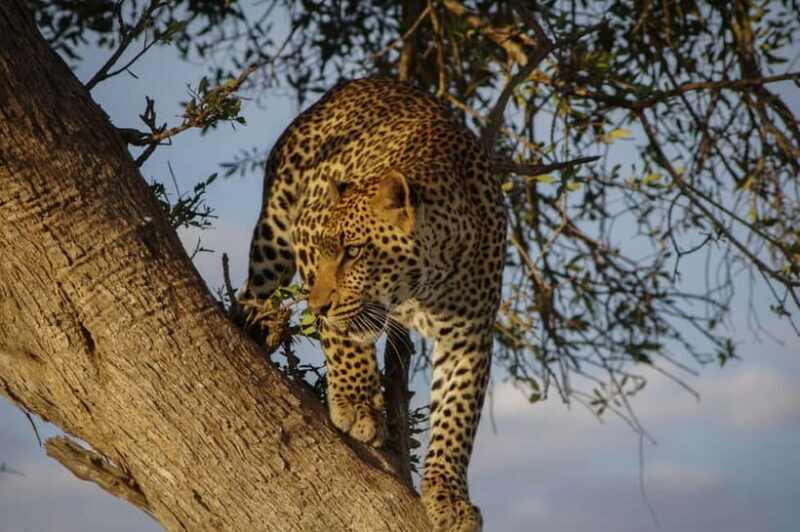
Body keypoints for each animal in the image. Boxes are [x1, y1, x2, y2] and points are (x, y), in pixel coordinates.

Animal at [242, 77, 506, 532]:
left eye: (353, 252)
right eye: (327, 250)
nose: (317, 306)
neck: (424, 282)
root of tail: (357, 83)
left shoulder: (469, 335)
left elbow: (457, 416)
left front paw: (449, 497)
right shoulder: (305, 231)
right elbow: (342, 338)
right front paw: (357, 404)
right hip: (274, 234)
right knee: (253, 289)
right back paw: (253, 323)